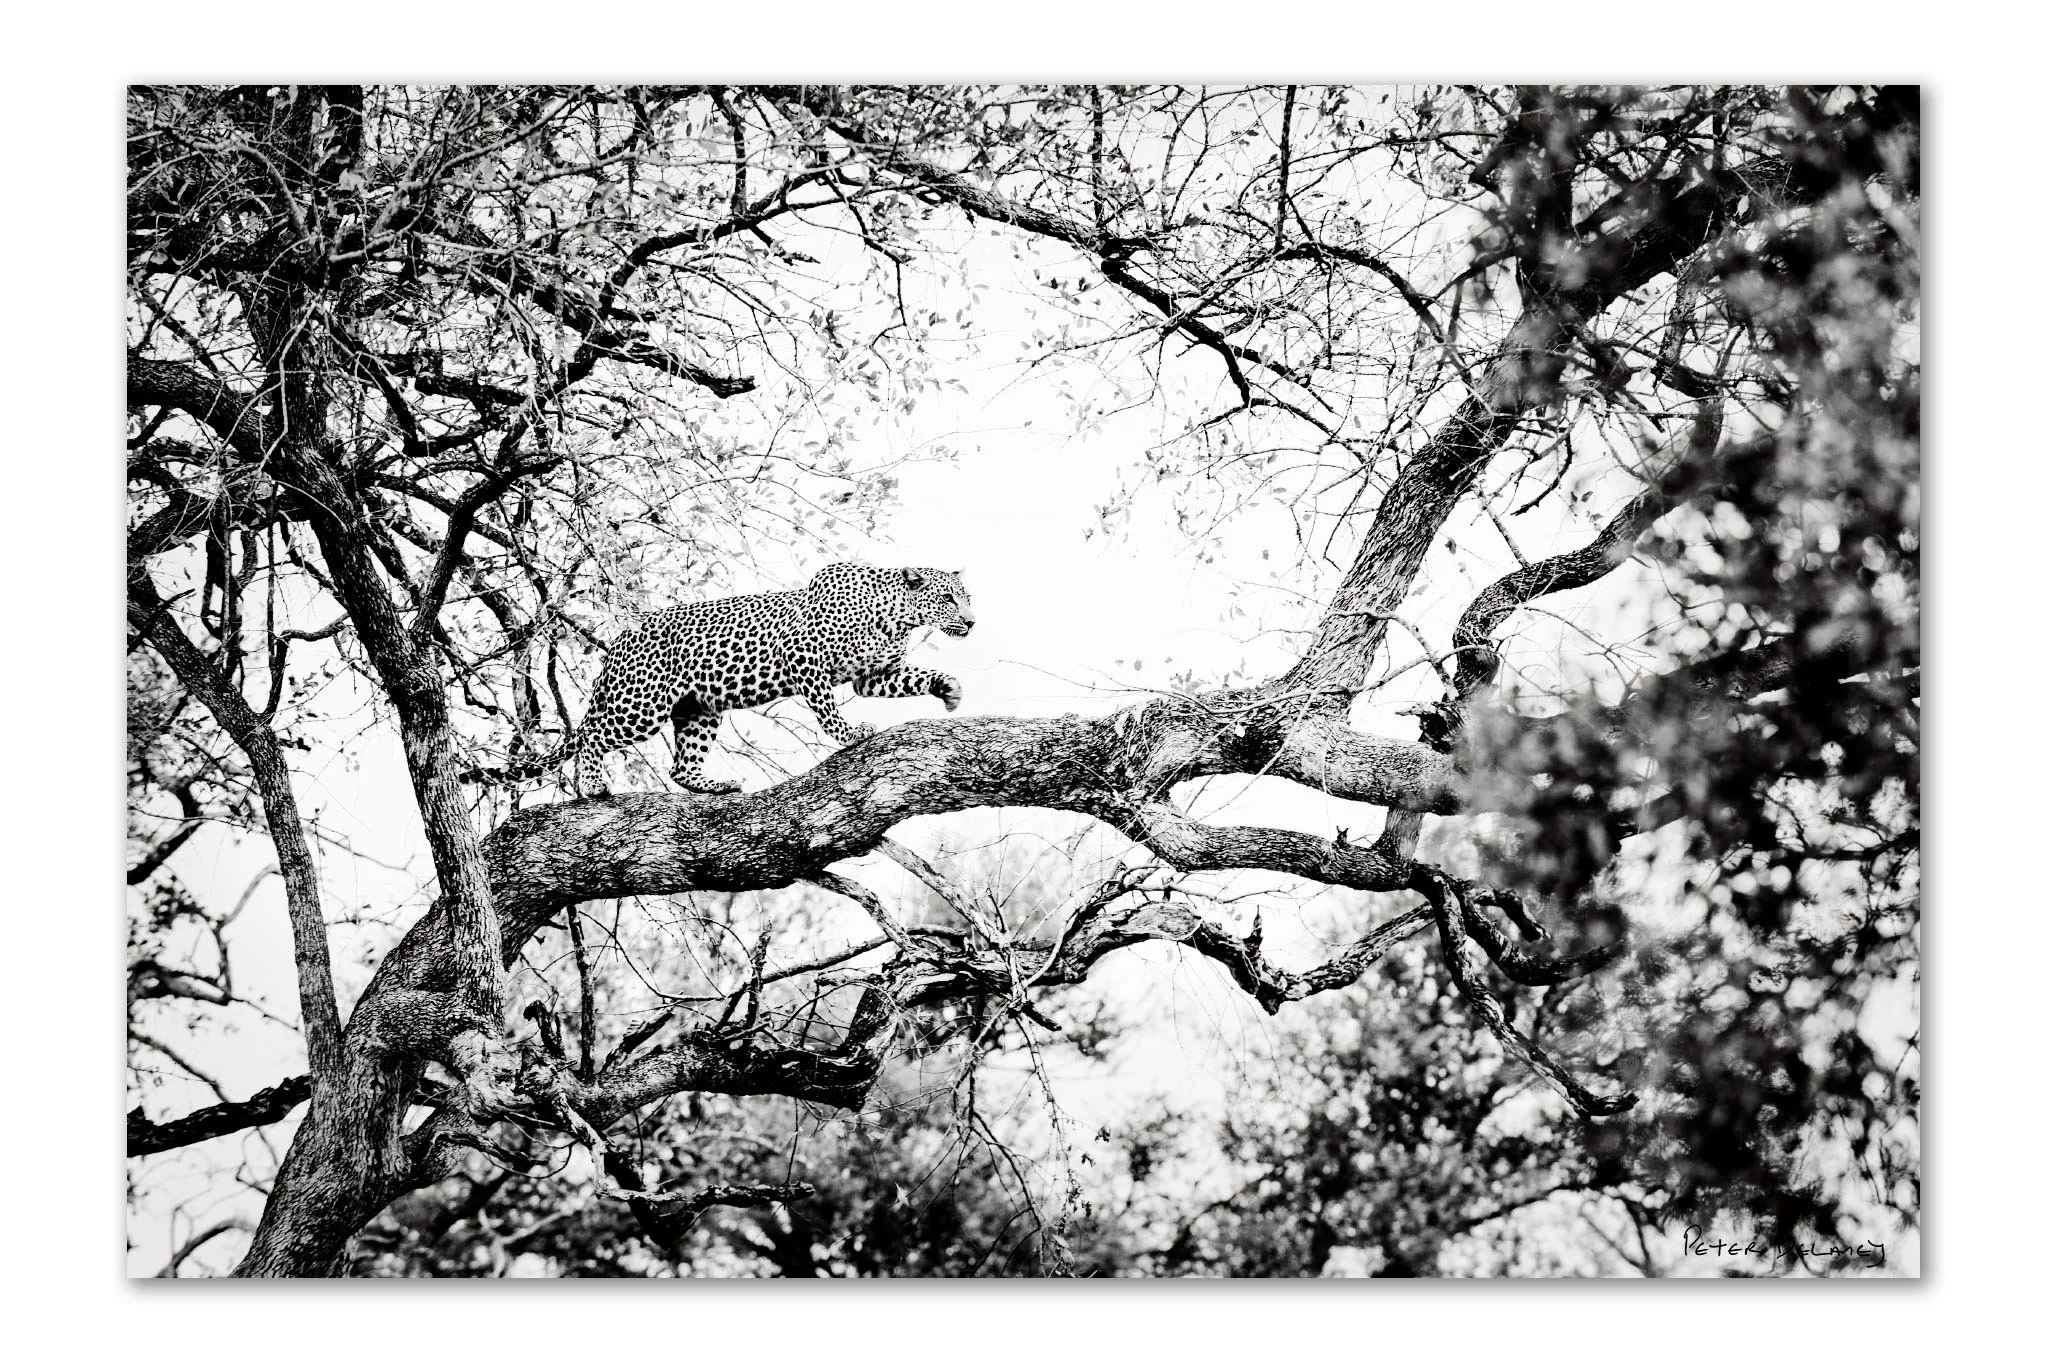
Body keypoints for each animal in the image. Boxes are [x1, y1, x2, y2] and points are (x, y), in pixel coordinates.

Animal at [472, 562, 973, 797]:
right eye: (949, 598)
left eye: (967, 598)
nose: (971, 622)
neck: (898, 618)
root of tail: (618, 641)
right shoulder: (804, 660)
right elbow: (828, 711)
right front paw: (852, 734)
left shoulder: (873, 676)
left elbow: (916, 677)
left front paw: (949, 689)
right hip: (641, 704)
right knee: (593, 735)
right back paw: (593, 785)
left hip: (698, 708)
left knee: (680, 767)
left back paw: (718, 786)